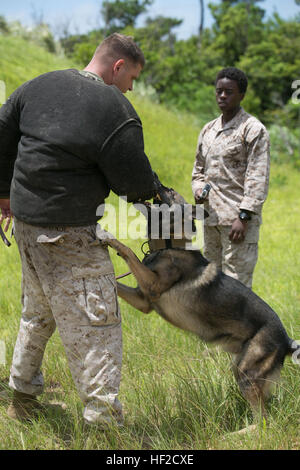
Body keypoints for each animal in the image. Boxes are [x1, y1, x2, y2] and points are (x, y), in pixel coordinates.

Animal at [100, 181, 298, 430]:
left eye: (170, 192)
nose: (156, 181)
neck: (169, 246)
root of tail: (287, 340)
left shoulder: (152, 285)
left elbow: (129, 253)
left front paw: (108, 236)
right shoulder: (143, 300)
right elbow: (117, 282)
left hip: (245, 372)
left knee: (263, 420)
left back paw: (240, 433)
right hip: (241, 365)